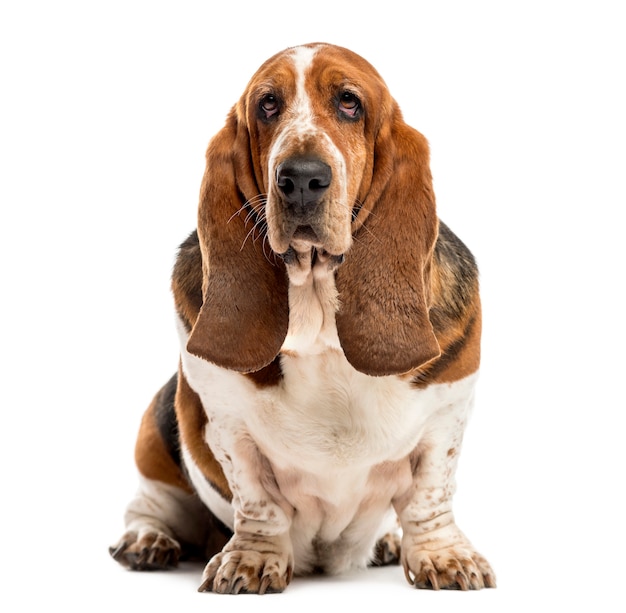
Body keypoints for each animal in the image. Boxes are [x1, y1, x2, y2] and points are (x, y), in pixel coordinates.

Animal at [109, 41, 494, 592]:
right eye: (267, 104)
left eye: (350, 102)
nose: (302, 179)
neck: (316, 317)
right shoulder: (227, 421)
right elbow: (258, 501)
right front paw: (250, 560)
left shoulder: (448, 409)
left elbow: (429, 497)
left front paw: (443, 557)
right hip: (156, 430)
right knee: (150, 501)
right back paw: (147, 540)